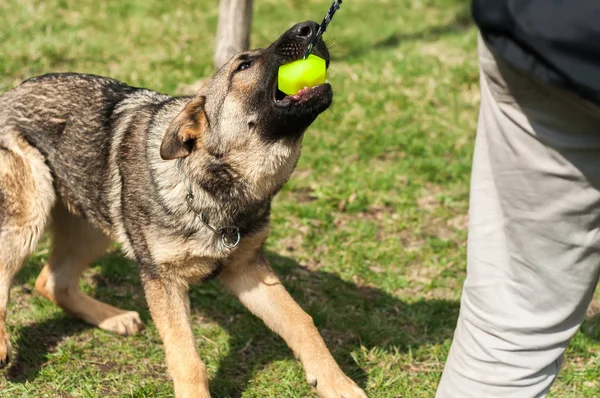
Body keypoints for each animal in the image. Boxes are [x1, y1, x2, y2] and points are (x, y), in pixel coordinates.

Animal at [0, 22, 366, 398]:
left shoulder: (247, 269)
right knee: (8, 277)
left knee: (52, 282)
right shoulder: (164, 280)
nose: (309, 27)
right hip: (31, 214)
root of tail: (8, 94)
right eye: (243, 66)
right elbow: (187, 358)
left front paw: (338, 383)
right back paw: (4, 346)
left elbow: (301, 321)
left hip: (95, 227)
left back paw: (113, 318)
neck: (206, 187)